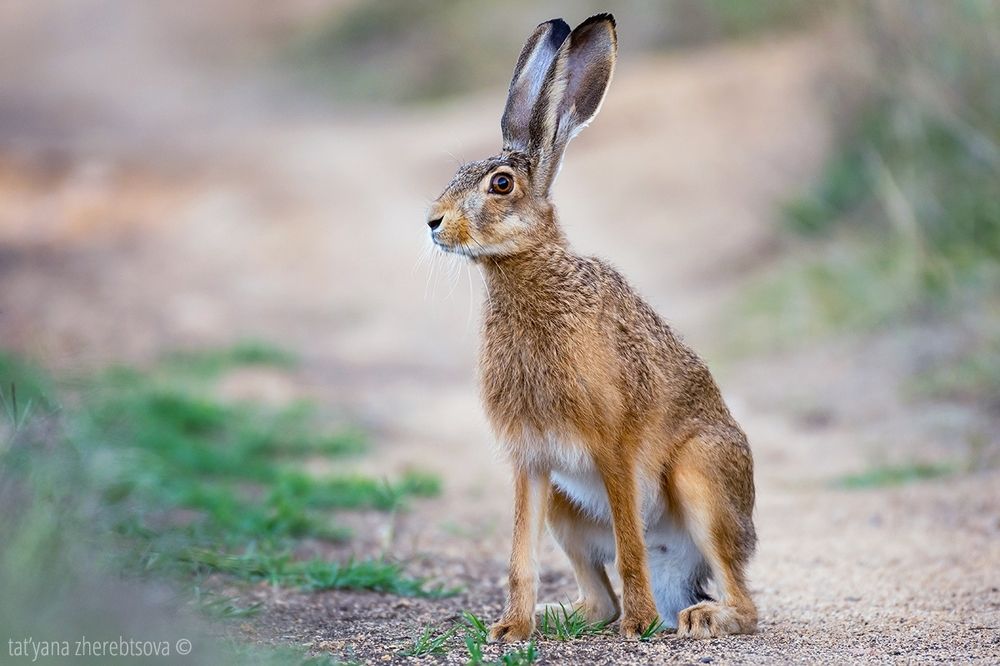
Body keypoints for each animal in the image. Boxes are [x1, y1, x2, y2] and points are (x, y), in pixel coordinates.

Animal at [426, 13, 757, 641]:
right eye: (457, 173)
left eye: (500, 184)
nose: (432, 222)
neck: (528, 272)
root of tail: (680, 573)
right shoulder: (530, 459)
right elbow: (519, 556)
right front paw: (510, 631)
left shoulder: (615, 446)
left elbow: (628, 547)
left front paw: (640, 626)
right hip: (565, 504)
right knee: (599, 595)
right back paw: (570, 617)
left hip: (701, 475)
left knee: (742, 601)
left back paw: (694, 616)